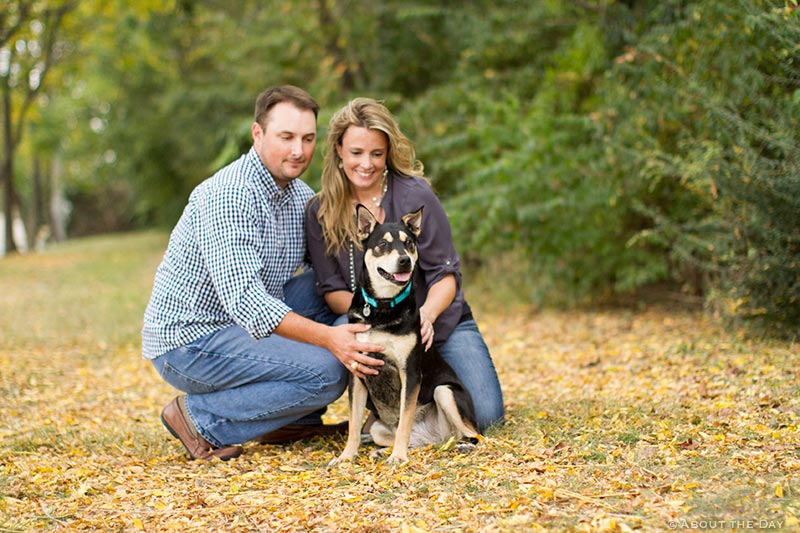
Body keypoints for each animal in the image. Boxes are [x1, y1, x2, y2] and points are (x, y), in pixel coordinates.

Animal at [330, 206, 478, 464]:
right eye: (383, 244)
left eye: (409, 243)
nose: (404, 260)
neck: (382, 306)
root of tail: (435, 434)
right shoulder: (357, 373)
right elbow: (353, 426)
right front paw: (346, 457)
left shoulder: (409, 372)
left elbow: (404, 421)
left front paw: (398, 456)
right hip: (378, 429)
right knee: (426, 443)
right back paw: (383, 451)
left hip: (445, 391)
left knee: (474, 436)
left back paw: (462, 447)